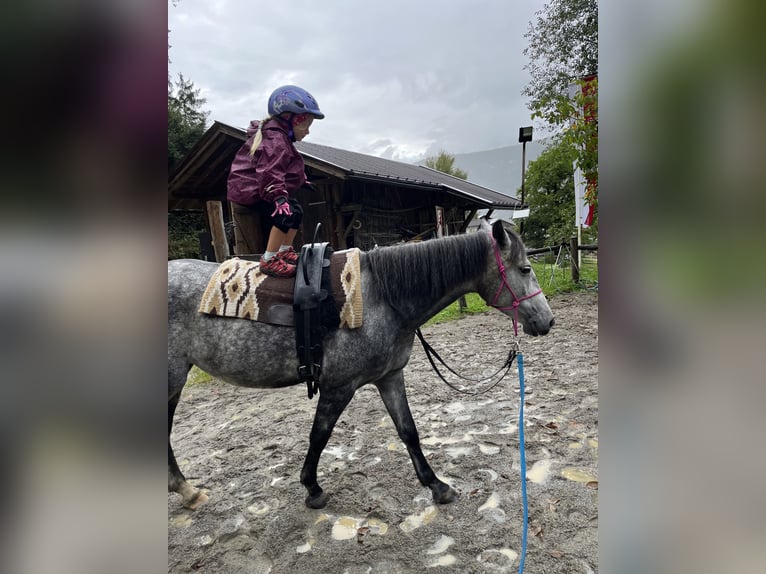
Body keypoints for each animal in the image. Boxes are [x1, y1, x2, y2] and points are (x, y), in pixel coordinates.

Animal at [168, 219, 554, 510]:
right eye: (525, 268)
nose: (548, 321)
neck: (381, 296)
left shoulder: (390, 377)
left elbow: (408, 431)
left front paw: (437, 486)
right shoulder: (338, 387)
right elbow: (319, 435)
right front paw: (312, 489)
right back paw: (187, 491)